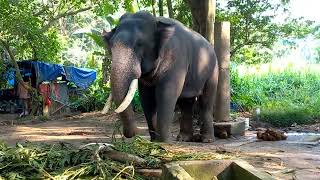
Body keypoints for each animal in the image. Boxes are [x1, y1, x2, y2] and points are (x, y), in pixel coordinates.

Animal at [104, 11, 219, 143]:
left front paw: (163, 141)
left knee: (205, 102)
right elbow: (147, 97)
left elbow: (166, 92)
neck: (156, 22)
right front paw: (154, 141)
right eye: (110, 47)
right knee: (186, 103)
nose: (134, 133)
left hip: (213, 71)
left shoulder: (176, 58)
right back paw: (183, 138)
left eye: (139, 44)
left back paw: (207, 140)